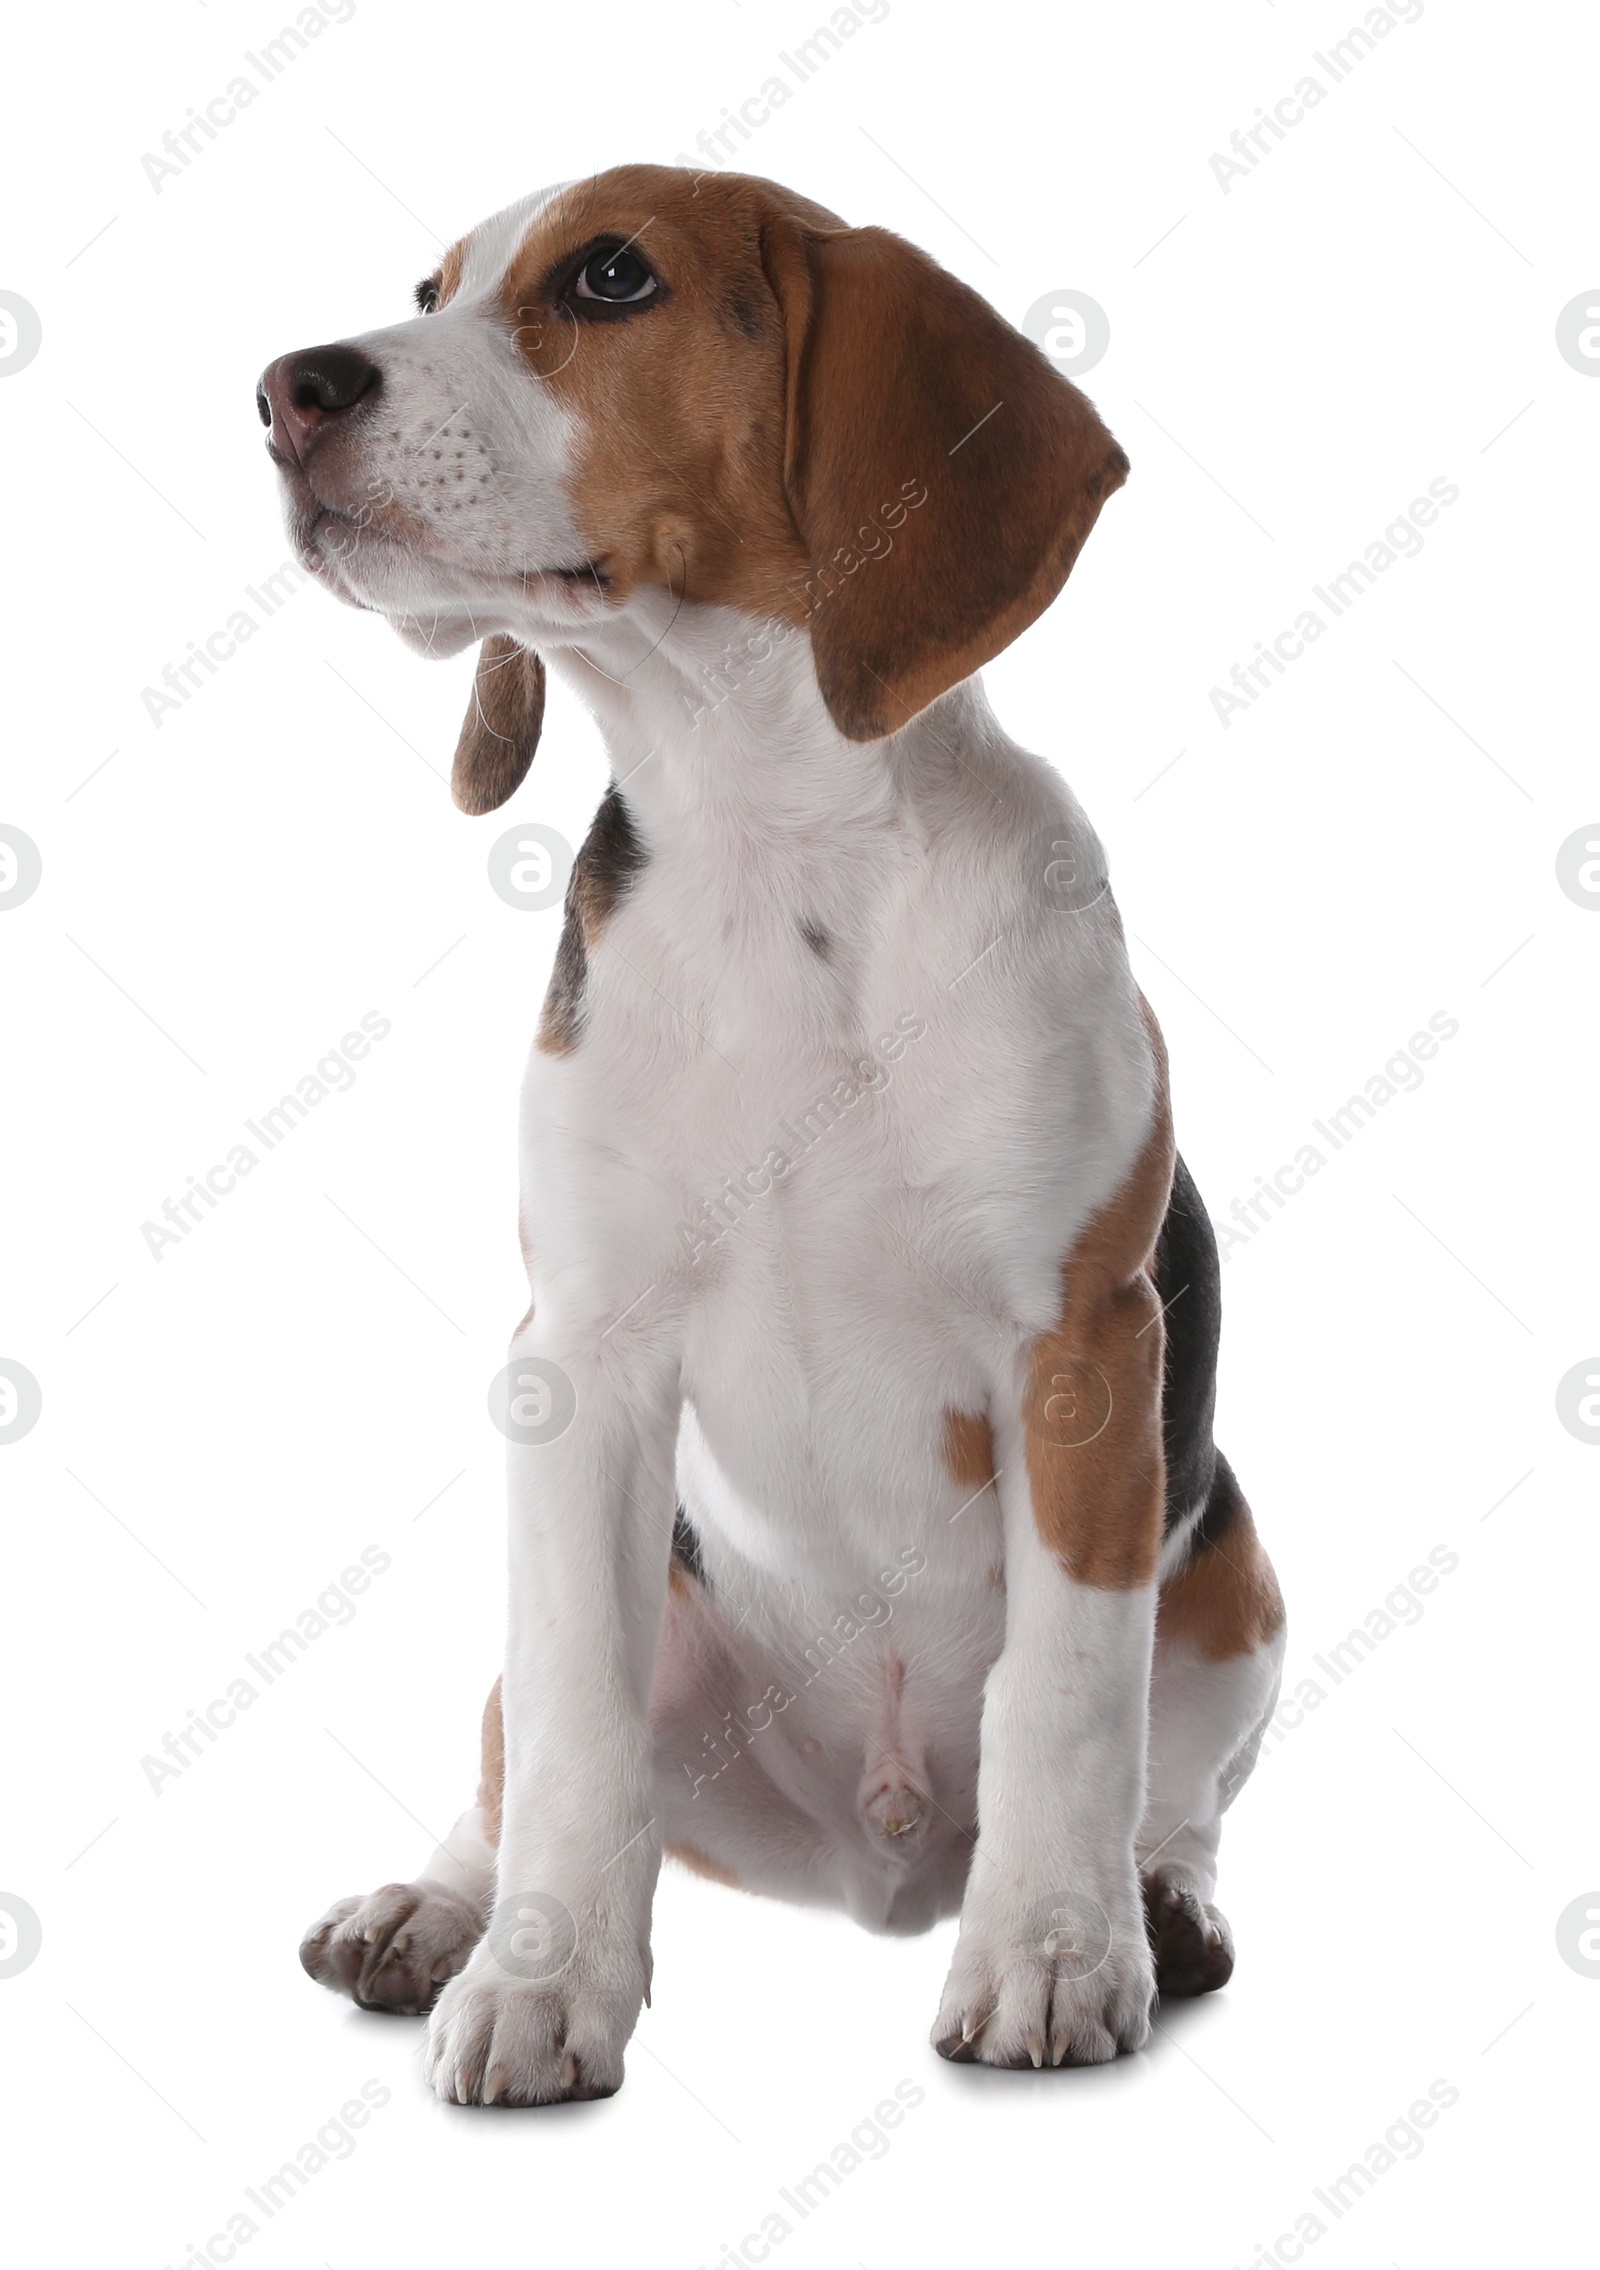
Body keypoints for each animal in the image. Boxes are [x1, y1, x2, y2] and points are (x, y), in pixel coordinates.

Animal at [262, 167, 1289, 2097]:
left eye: (610, 277)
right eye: (428, 291)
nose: (286, 390)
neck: (768, 837)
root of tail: (871, 1857)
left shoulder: (1085, 1350)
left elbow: (1067, 1698)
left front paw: (1052, 1955)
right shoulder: (581, 1359)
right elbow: (574, 1727)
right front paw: (540, 1980)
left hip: (1237, 1582)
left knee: (1173, 1774)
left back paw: (1152, 1902)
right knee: (510, 1752)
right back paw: (437, 1908)